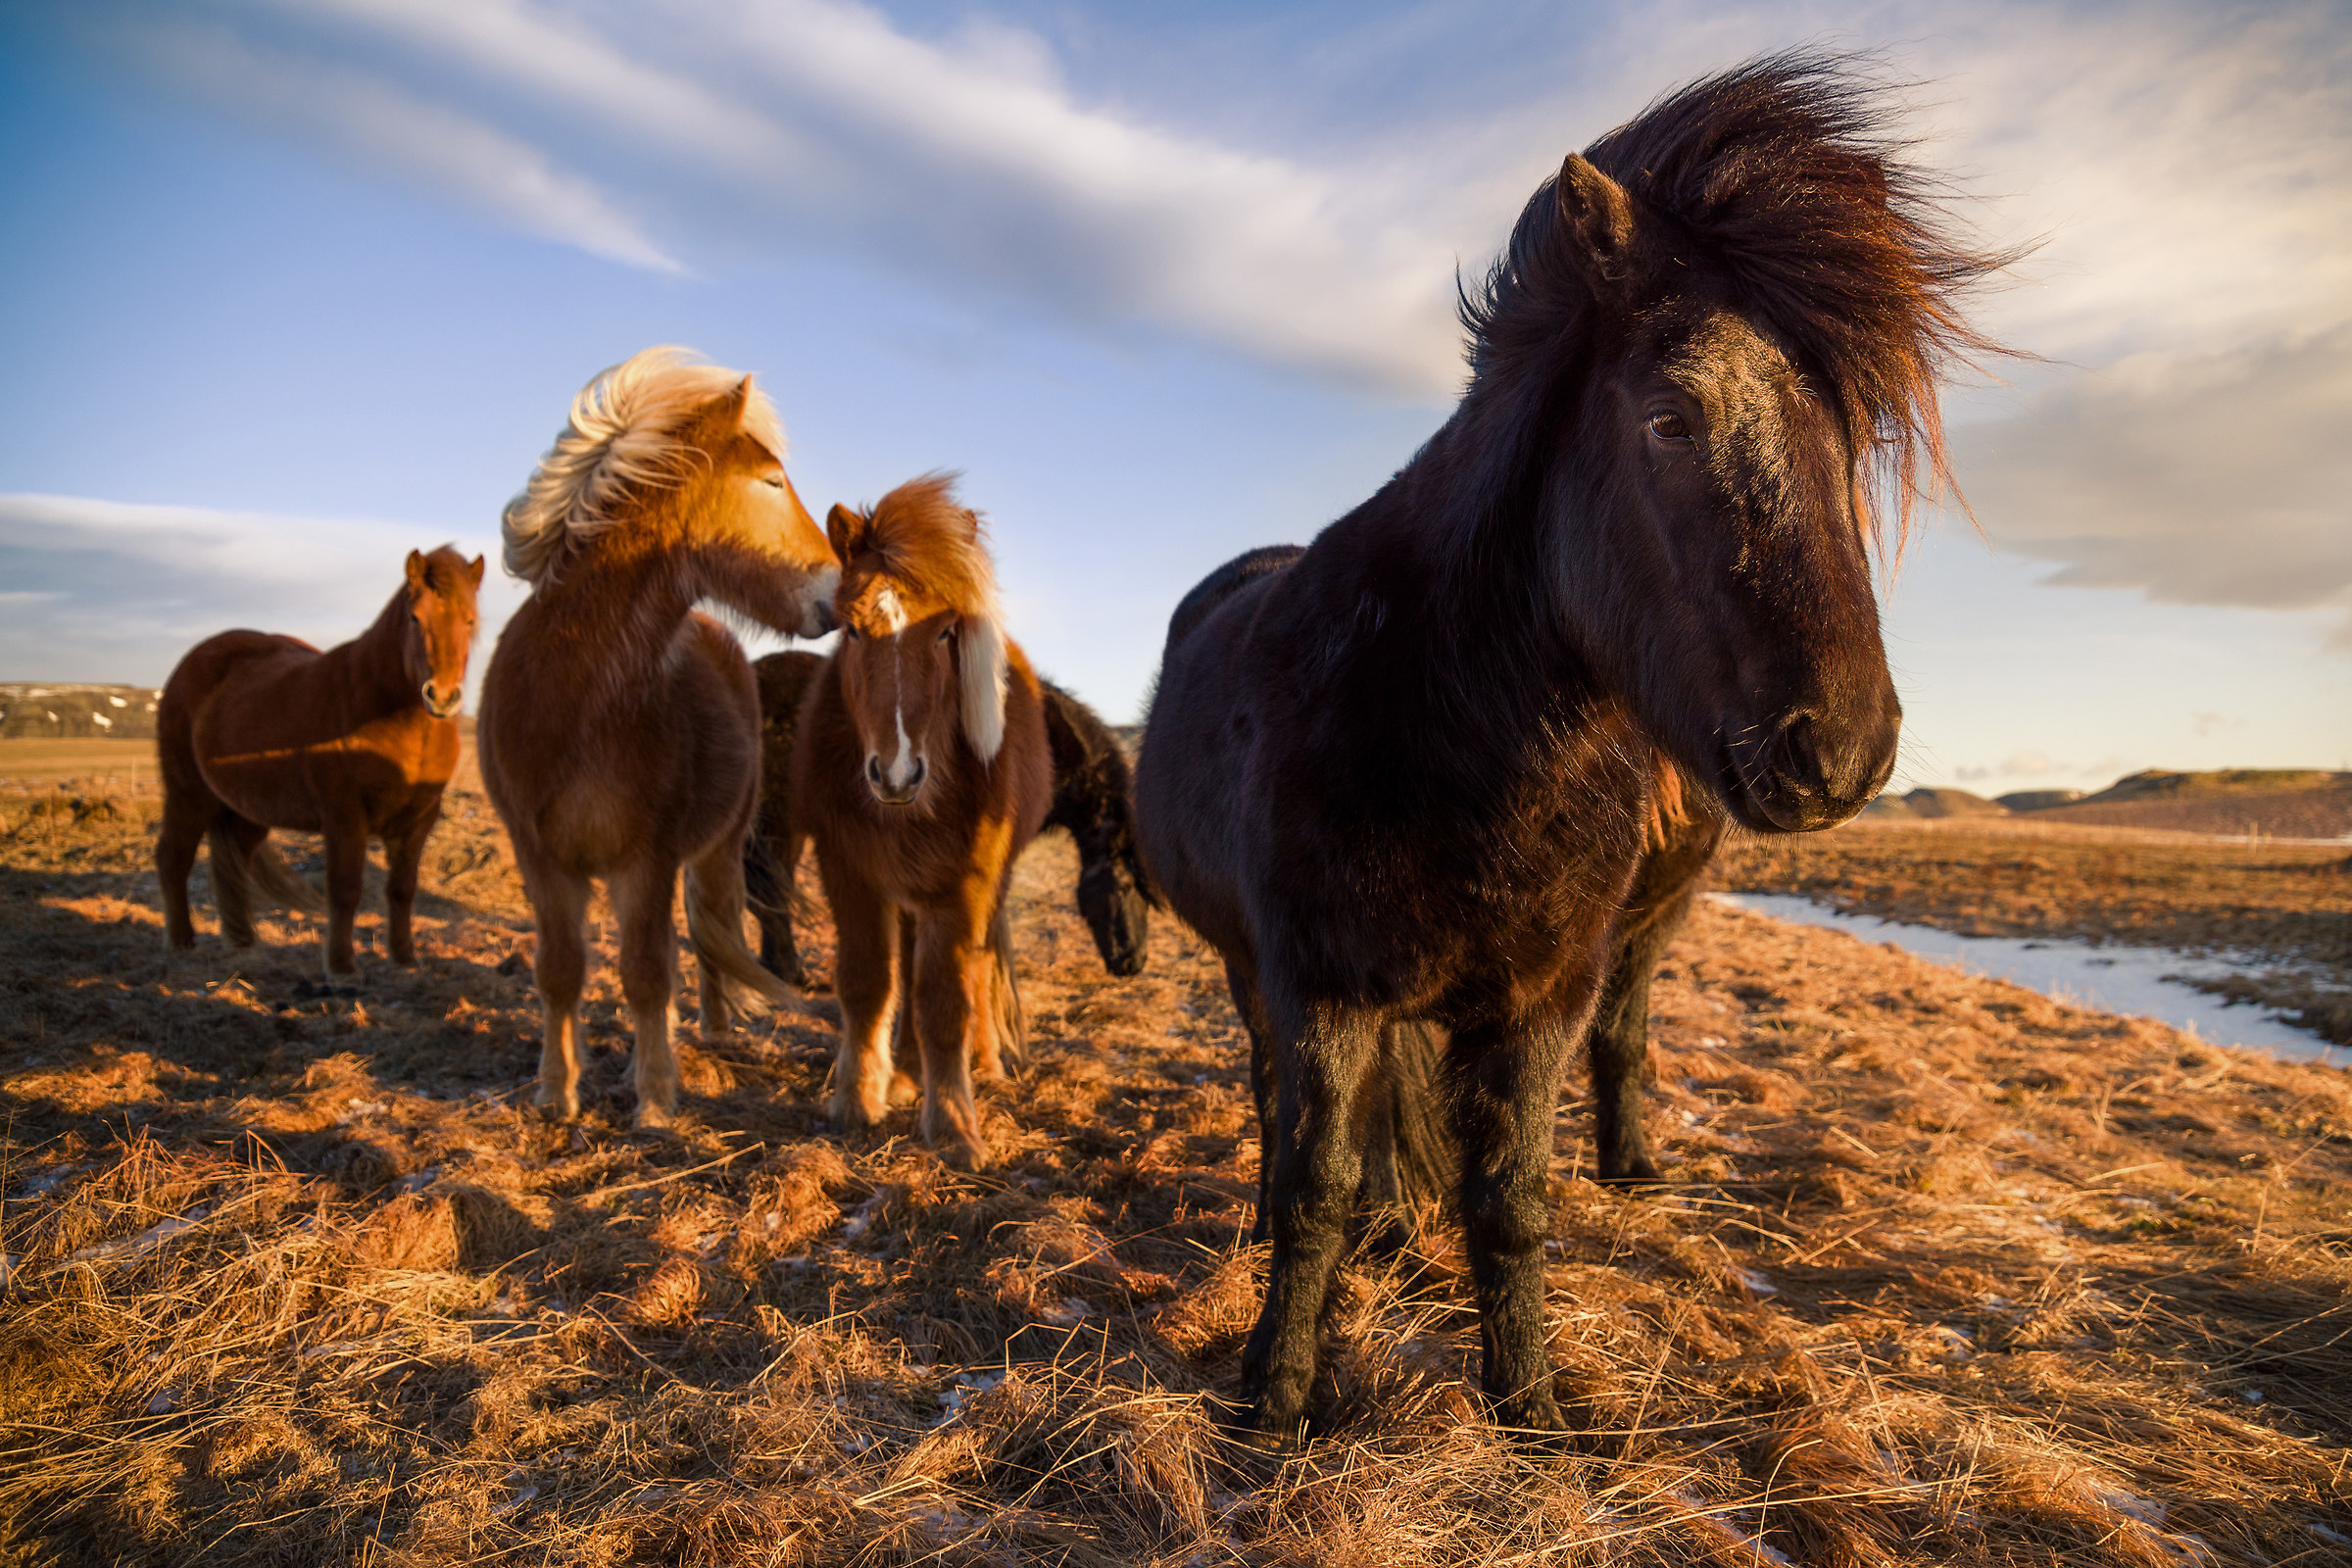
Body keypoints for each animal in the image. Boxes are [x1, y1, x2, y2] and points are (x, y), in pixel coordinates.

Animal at [156, 546, 484, 977]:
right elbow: (345, 889)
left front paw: (405, 960)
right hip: (188, 796)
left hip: (247, 810)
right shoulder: (344, 816)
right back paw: (181, 943)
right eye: (415, 617)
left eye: (470, 621)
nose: (442, 697)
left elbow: (402, 890)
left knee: (233, 863)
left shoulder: (418, 820)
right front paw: (341, 965)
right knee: (173, 859)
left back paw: (242, 942)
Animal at [477, 346, 839, 1130]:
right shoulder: (540, 858)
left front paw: (653, 1100)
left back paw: (714, 1031)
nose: (837, 597)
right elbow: (559, 973)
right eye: (771, 481)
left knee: (709, 936)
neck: (577, 699)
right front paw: (556, 1095)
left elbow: (646, 974)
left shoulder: (645, 862)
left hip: (717, 850)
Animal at [792, 475, 1053, 1169]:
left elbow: (945, 1001)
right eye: (851, 629)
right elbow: (867, 982)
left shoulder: (964, 887)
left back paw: (978, 1065)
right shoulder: (848, 871)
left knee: (975, 968)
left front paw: (956, 1127)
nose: (897, 772)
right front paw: (857, 1099)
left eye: (945, 634)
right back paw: (907, 1073)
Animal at [1133, 54, 2014, 1441]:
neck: (1450, 732)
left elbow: (1511, 1197)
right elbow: (1320, 1174)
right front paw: (1275, 1392)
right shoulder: (1320, 982)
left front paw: (1533, 1403)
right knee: (1277, 1107)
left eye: (1851, 430)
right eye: (1670, 418)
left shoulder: (1546, 997)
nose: (1843, 749)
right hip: (1248, 968)